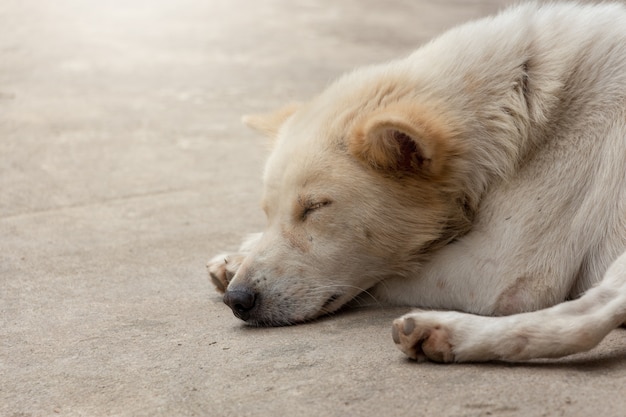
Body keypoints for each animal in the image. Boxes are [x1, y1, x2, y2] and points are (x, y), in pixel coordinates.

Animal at [206, 2, 624, 360]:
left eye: (315, 207)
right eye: (268, 212)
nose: (237, 300)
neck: (519, 107)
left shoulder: (500, 272)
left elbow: (390, 273)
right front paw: (238, 255)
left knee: (586, 321)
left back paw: (445, 332)